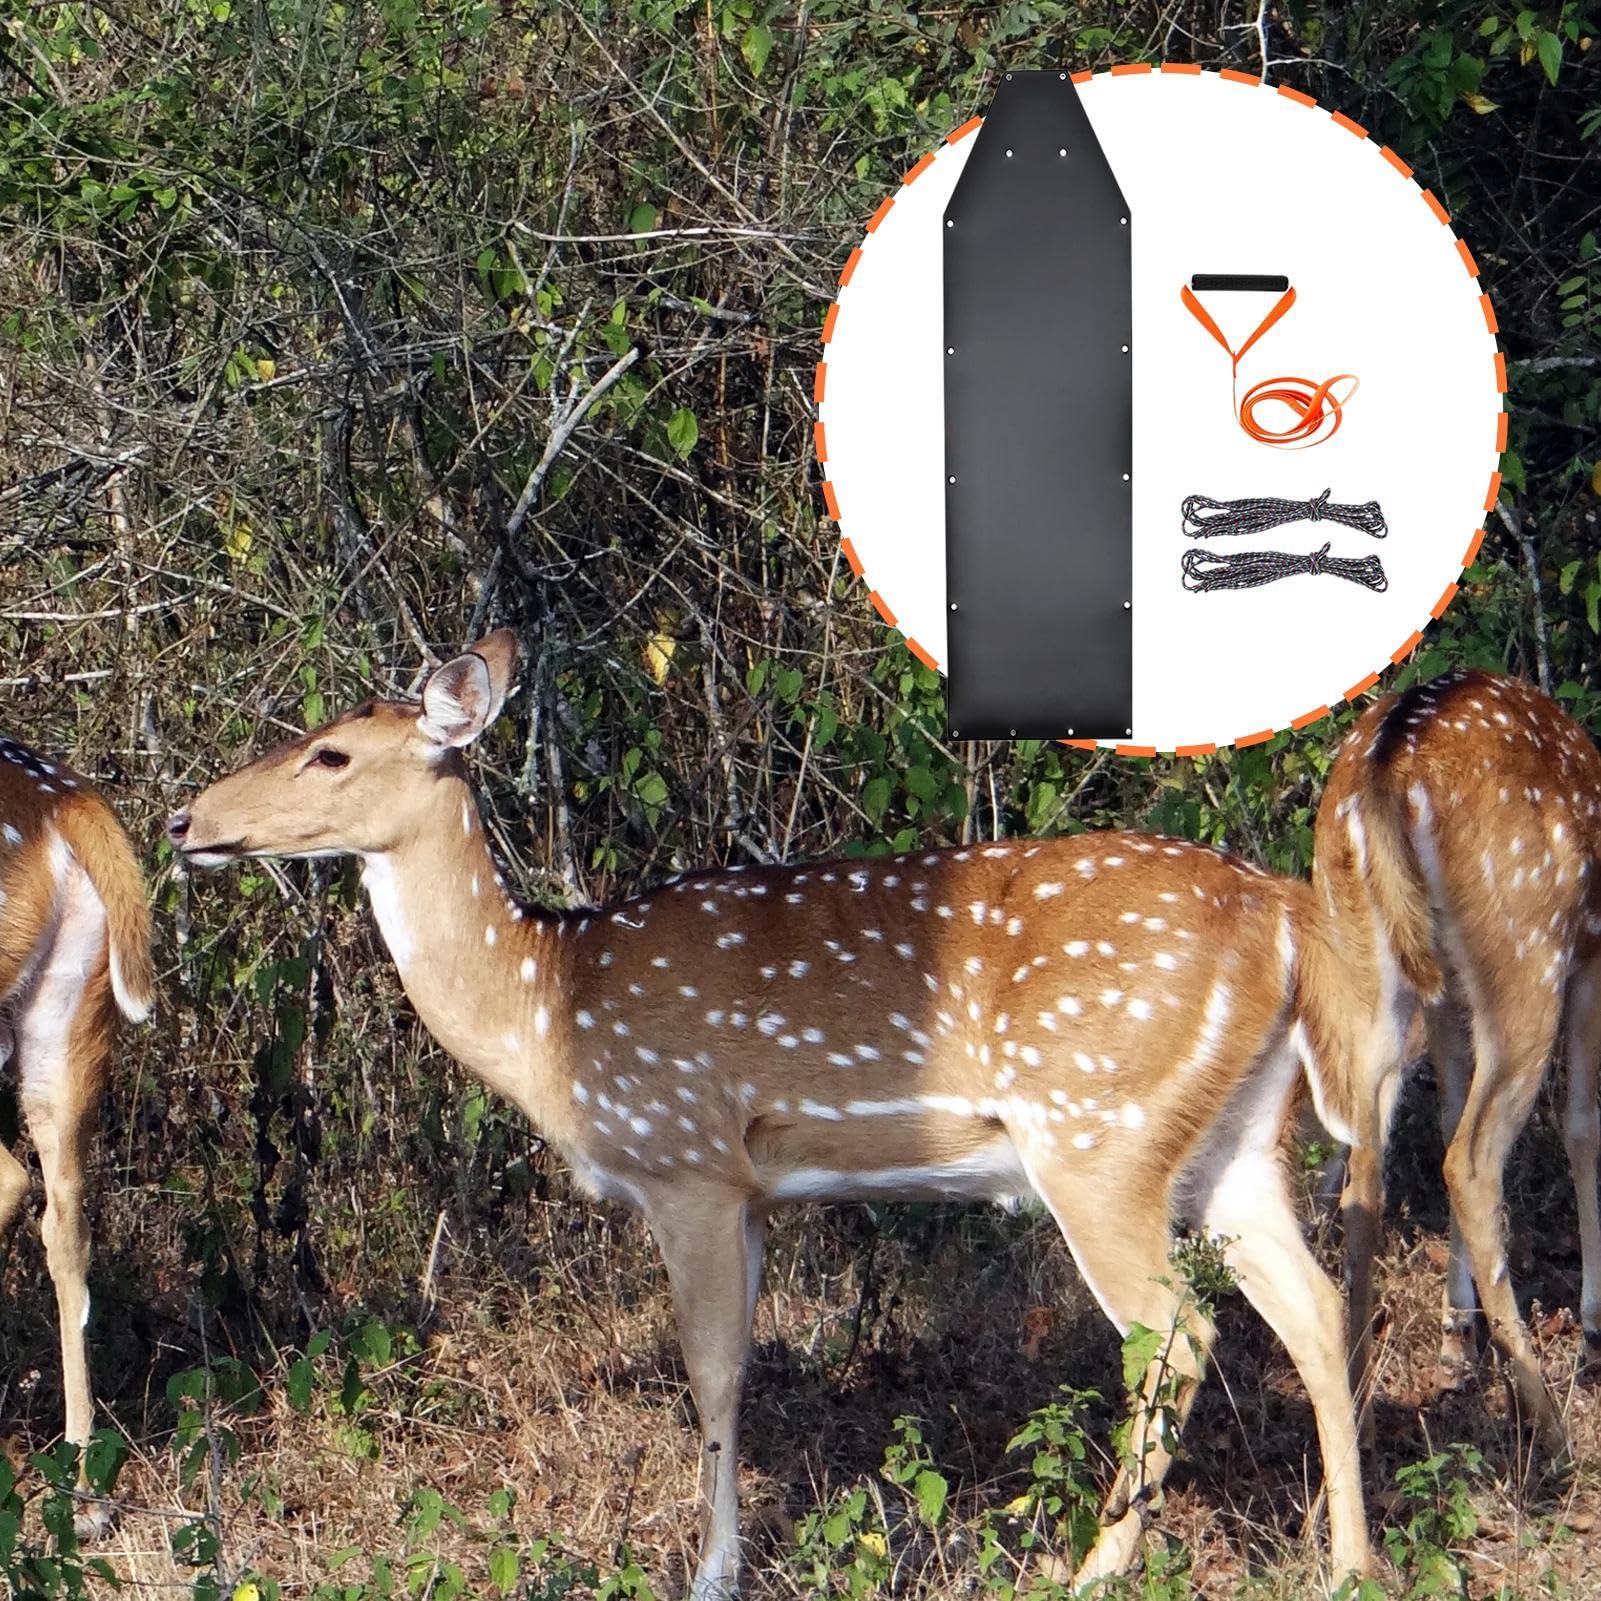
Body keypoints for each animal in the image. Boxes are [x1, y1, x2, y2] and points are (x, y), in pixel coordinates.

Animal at [166, 630, 1370, 1596]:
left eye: (329, 752)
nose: (184, 818)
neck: (547, 1008)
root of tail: (1285, 913)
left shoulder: (686, 1160)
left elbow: (712, 1368)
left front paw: (710, 1572)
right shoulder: (751, 1188)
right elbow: (738, 1366)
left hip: (1095, 1130)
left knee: (1181, 1330)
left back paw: (1094, 1569)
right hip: (1230, 1137)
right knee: (1311, 1304)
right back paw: (1350, 1561)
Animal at [1308, 666, 1601, 1463]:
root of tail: (1389, 766)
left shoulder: (1448, 1001)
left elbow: (1445, 1107)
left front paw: (1454, 1334)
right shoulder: (1592, 959)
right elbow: (1583, 1126)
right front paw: (1594, 1328)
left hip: (1372, 965)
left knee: (1368, 1167)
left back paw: (1359, 1401)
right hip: (1527, 947)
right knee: (1469, 1160)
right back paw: (1549, 1429)